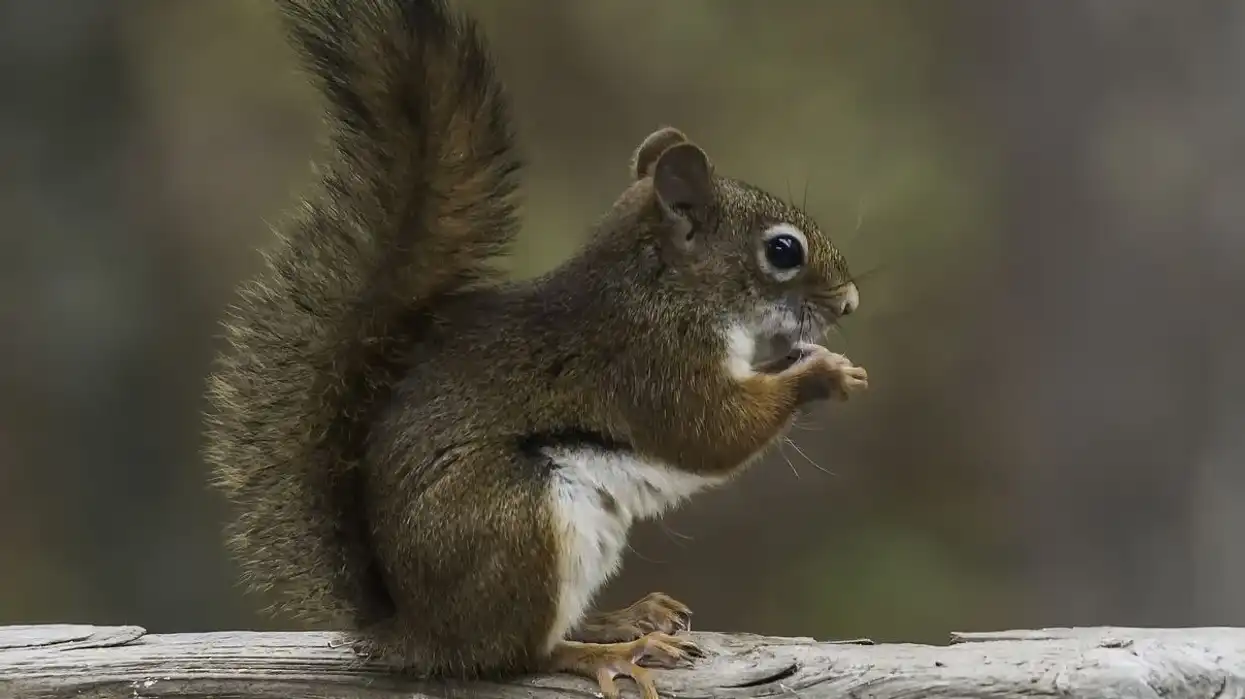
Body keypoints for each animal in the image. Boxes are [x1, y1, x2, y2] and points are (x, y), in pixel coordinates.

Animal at [204, 0, 868, 697]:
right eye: (783, 250)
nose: (850, 301)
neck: (666, 285)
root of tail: (415, 633)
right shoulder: (650, 361)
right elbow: (711, 433)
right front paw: (821, 374)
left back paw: (620, 618)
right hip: (517, 524)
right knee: (519, 654)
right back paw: (609, 651)